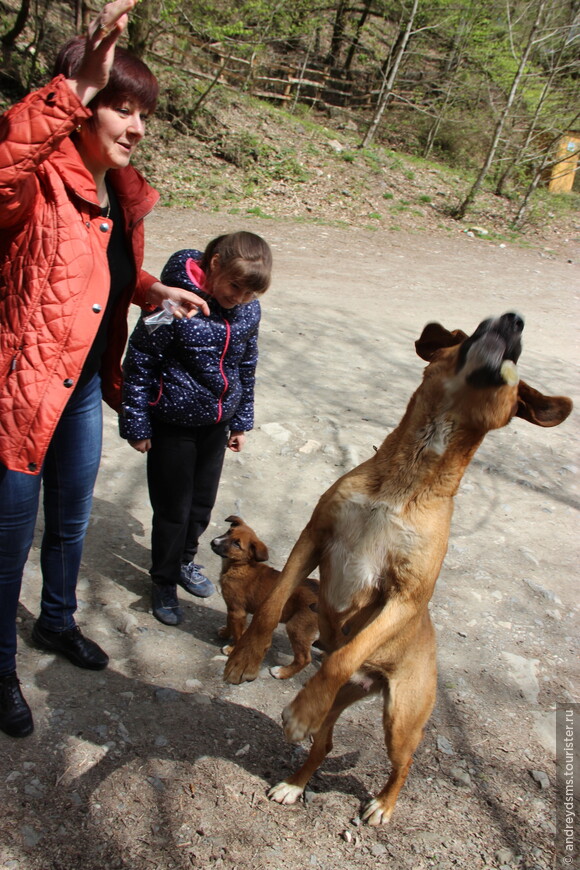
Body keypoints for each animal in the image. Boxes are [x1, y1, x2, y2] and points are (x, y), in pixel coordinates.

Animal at [211, 516, 320, 680]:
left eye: (237, 544)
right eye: (229, 531)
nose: (214, 542)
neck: (240, 566)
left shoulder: (237, 611)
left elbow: (237, 634)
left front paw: (232, 649)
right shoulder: (233, 609)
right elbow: (230, 624)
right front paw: (224, 633)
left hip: (297, 628)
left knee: (304, 658)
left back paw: (282, 672)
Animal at [224, 314, 572, 824]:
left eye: (517, 352)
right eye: (473, 330)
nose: (514, 319)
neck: (411, 473)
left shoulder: (405, 598)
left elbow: (343, 654)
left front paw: (299, 711)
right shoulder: (313, 538)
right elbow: (270, 605)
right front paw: (245, 657)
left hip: (401, 721)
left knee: (402, 762)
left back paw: (383, 804)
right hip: (342, 707)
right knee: (323, 746)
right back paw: (294, 784)